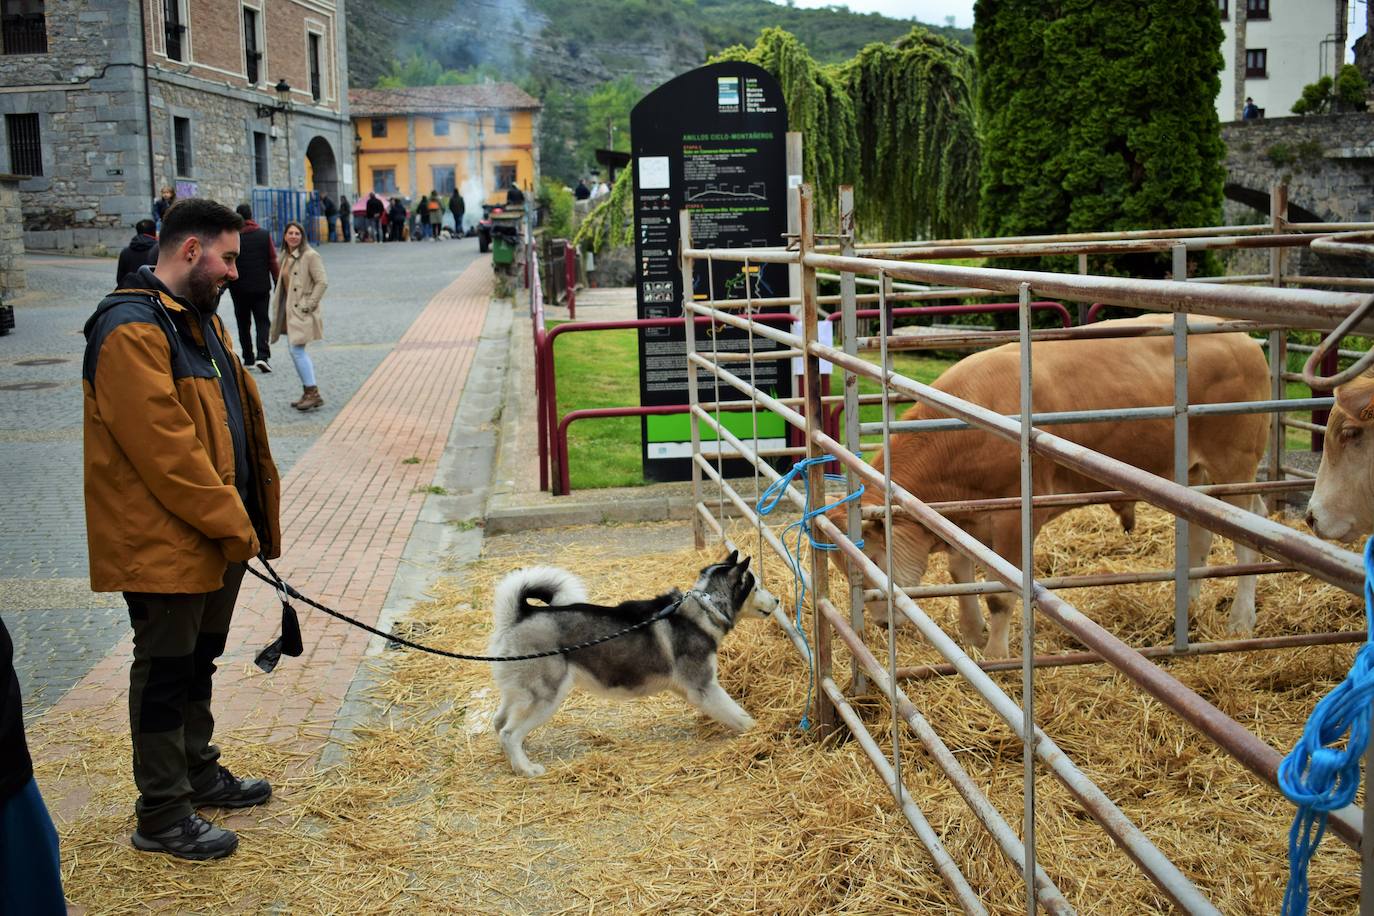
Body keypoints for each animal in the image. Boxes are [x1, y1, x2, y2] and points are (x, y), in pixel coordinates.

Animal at [489, 552, 780, 780]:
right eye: (756, 587)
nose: (777, 600)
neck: (704, 607)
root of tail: (521, 615)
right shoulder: (704, 688)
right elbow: (740, 717)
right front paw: (761, 730)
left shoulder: (688, 688)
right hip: (545, 698)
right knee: (508, 732)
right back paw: (525, 768)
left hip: (520, 694)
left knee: (499, 723)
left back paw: (516, 755)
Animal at [824, 315, 1264, 659]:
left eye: (873, 559)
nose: (882, 624)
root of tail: (1240, 337)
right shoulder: (964, 520)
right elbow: (960, 574)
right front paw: (972, 635)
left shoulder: (1015, 518)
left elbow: (1000, 593)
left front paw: (995, 656)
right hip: (1195, 477)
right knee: (1206, 535)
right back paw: (1188, 610)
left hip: (1234, 464)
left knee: (1248, 541)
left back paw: (1241, 621)